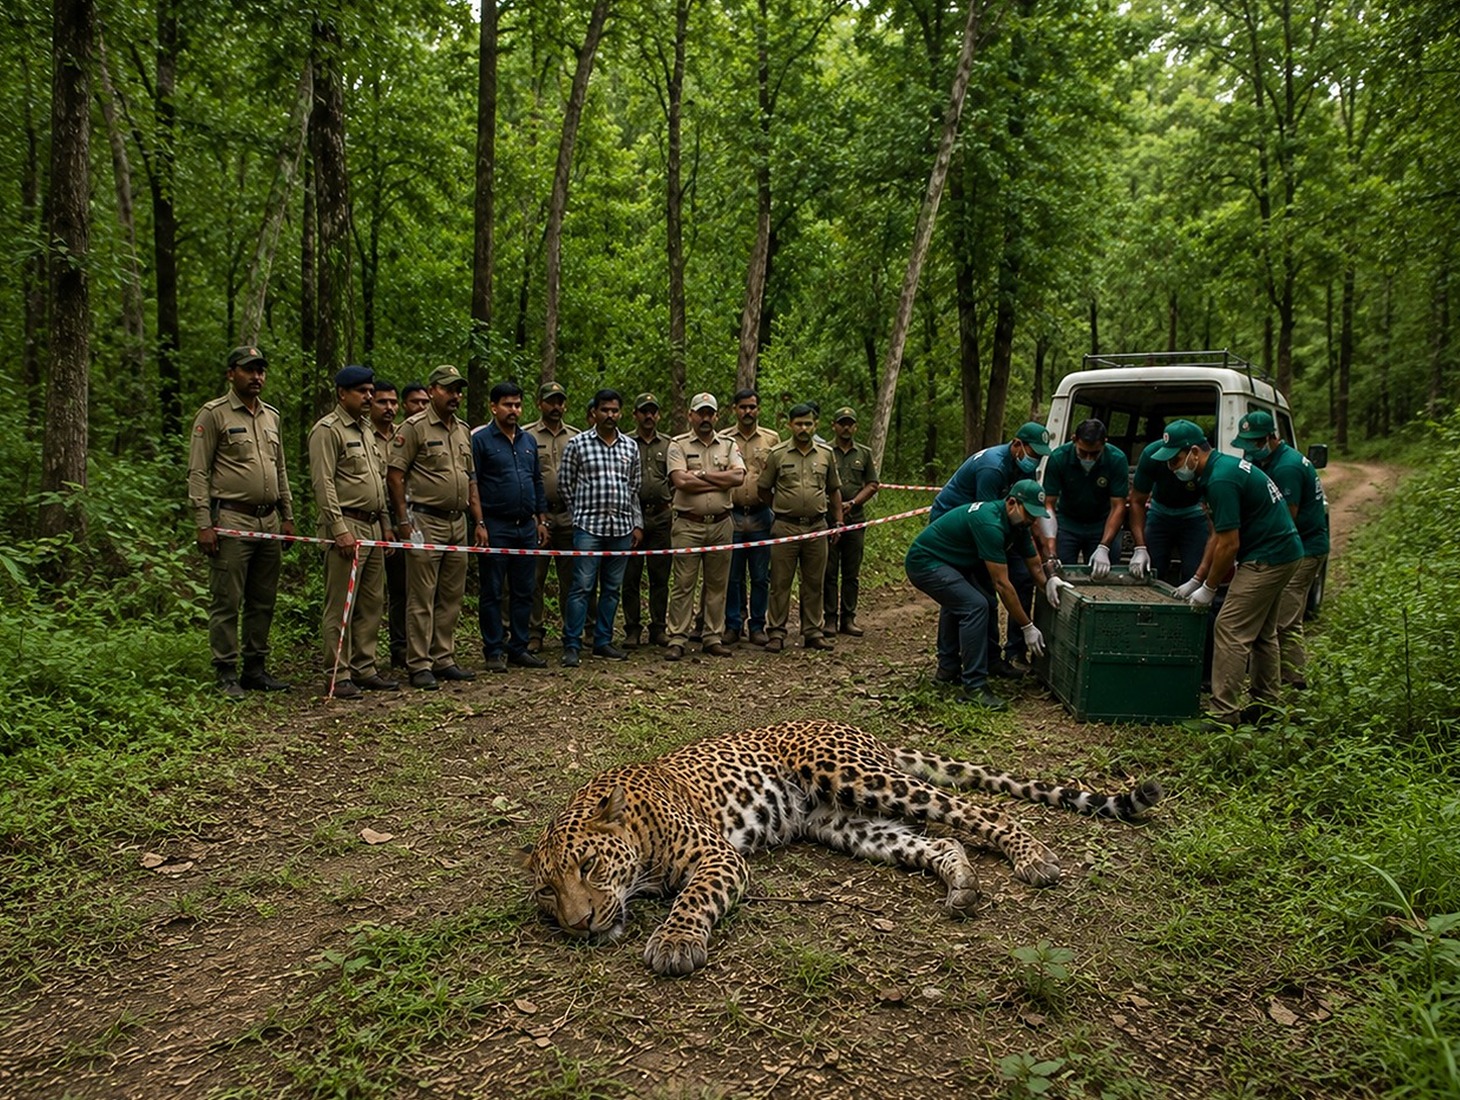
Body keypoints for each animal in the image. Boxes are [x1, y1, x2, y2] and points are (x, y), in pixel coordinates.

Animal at [523, 719, 1163, 976]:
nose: (579, 925)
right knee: (938, 839)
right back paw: (962, 886)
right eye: (548, 892)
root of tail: (858, 729)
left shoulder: (716, 856)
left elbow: (692, 900)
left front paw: (676, 943)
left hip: (859, 776)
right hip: (847, 823)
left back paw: (1033, 858)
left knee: (983, 811)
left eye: (589, 864)